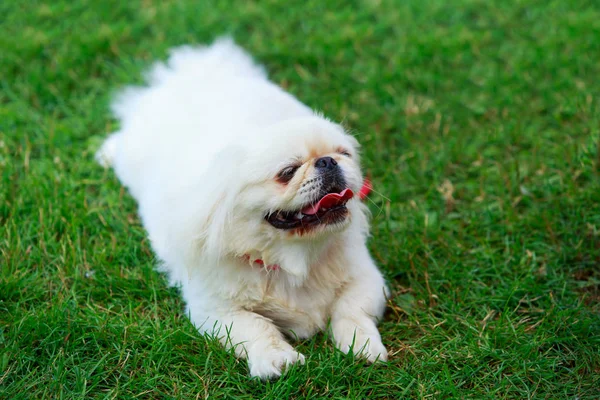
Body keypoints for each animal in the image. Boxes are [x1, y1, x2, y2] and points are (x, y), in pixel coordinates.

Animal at [97, 37, 390, 378]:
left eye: (344, 153)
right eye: (288, 172)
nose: (327, 161)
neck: (292, 261)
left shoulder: (367, 278)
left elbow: (351, 311)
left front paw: (362, 346)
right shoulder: (215, 310)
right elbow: (256, 326)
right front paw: (278, 359)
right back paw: (106, 153)